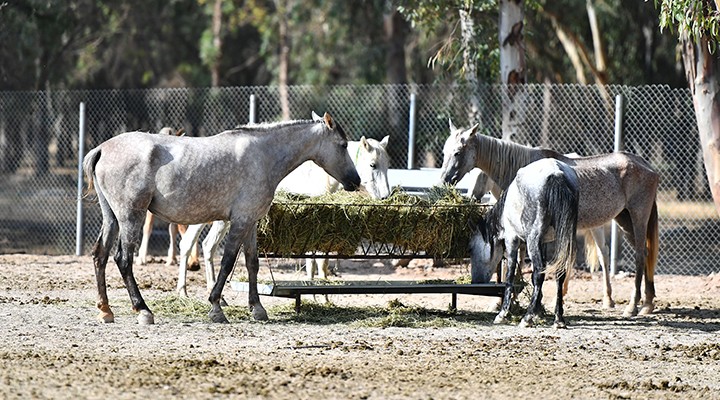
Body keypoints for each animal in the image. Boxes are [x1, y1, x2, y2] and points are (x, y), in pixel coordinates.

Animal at [83, 111, 360, 324]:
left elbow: (252, 263)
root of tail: (102, 149)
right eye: (343, 145)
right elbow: (227, 262)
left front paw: (257, 309)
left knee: (100, 256)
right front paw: (216, 307)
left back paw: (105, 311)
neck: (263, 155)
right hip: (131, 217)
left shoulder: (250, 222)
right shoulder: (239, 222)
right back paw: (143, 310)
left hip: (112, 218)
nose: (355, 181)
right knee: (123, 259)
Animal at [172, 134, 390, 296]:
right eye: (372, 165)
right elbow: (315, 261)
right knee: (193, 244)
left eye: (388, 165)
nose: (385, 196)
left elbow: (321, 261)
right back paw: (184, 291)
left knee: (204, 245)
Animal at [438, 120, 660, 318]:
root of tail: (647, 166)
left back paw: (631, 306)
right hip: (624, 220)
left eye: (457, 152)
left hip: (636, 218)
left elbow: (518, 264)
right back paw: (647, 304)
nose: (444, 180)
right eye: (444, 152)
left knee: (636, 255)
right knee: (643, 253)